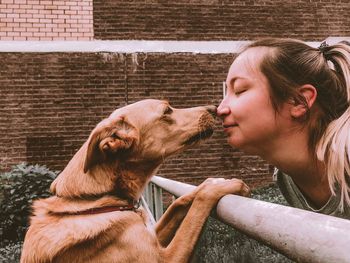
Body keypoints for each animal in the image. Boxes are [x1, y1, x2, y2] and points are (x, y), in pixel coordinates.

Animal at [20, 99, 249, 263]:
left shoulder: (153, 235)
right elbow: (197, 208)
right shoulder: (167, 258)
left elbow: (178, 202)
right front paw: (224, 186)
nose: (214, 109)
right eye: (167, 111)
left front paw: (211, 182)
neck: (93, 199)